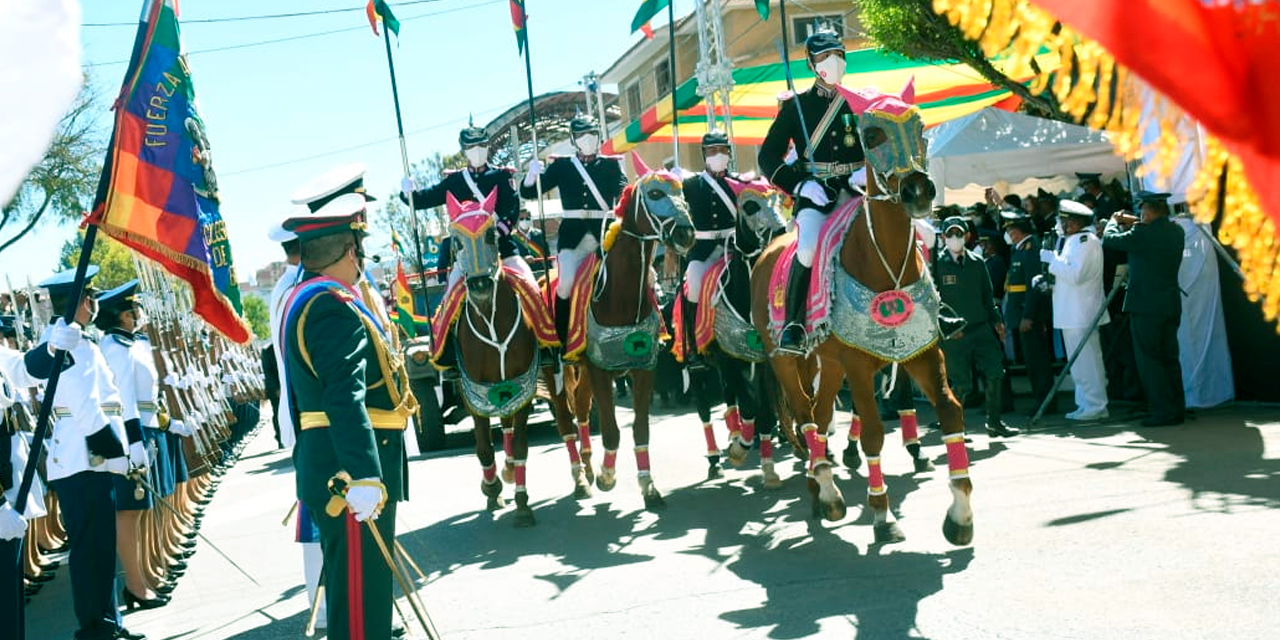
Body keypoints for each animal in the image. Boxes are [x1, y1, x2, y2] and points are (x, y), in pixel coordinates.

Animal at [442, 188, 591, 524]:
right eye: (456, 241)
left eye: (490, 236)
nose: (480, 284)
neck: (490, 319)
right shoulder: (473, 390)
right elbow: (484, 447)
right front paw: (492, 489)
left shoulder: (523, 382)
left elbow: (522, 444)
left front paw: (522, 504)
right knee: (505, 426)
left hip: (548, 376)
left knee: (564, 422)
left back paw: (578, 480)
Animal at [565, 154, 696, 509]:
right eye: (655, 194)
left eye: (682, 191)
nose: (686, 233)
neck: (618, 296)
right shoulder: (600, 369)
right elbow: (612, 429)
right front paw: (608, 477)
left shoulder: (643, 368)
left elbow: (640, 429)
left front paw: (648, 487)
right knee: (566, 419)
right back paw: (581, 478)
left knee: (581, 410)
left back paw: (586, 466)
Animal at [747, 82, 967, 545]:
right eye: (872, 135)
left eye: (920, 127)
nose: (919, 191)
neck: (882, 256)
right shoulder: (860, 365)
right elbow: (873, 435)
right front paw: (883, 515)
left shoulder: (922, 352)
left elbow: (951, 411)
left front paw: (960, 513)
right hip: (785, 361)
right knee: (807, 417)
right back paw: (828, 492)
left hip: (828, 364)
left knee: (820, 415)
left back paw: (819, 487)